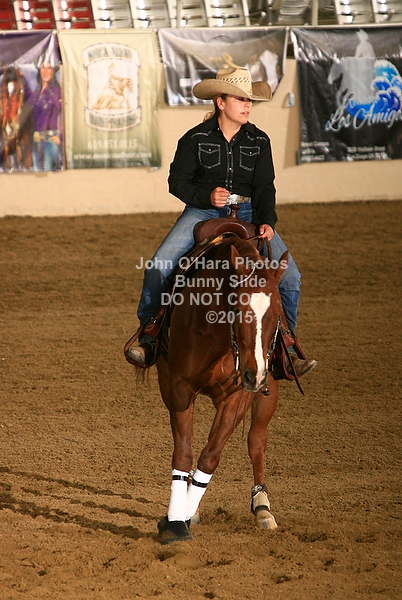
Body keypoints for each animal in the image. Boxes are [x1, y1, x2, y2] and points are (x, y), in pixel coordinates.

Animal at [131, 229, 288, 544]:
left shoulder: (237, 396)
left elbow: (211, 456)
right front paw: (175, 522)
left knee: (256, 441)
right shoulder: (178, 387)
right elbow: (184, 454)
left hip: (267, 391)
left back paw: (262, 508)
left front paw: (183, 514)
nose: (255, 376)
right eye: (238, 308)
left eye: (278, 312)